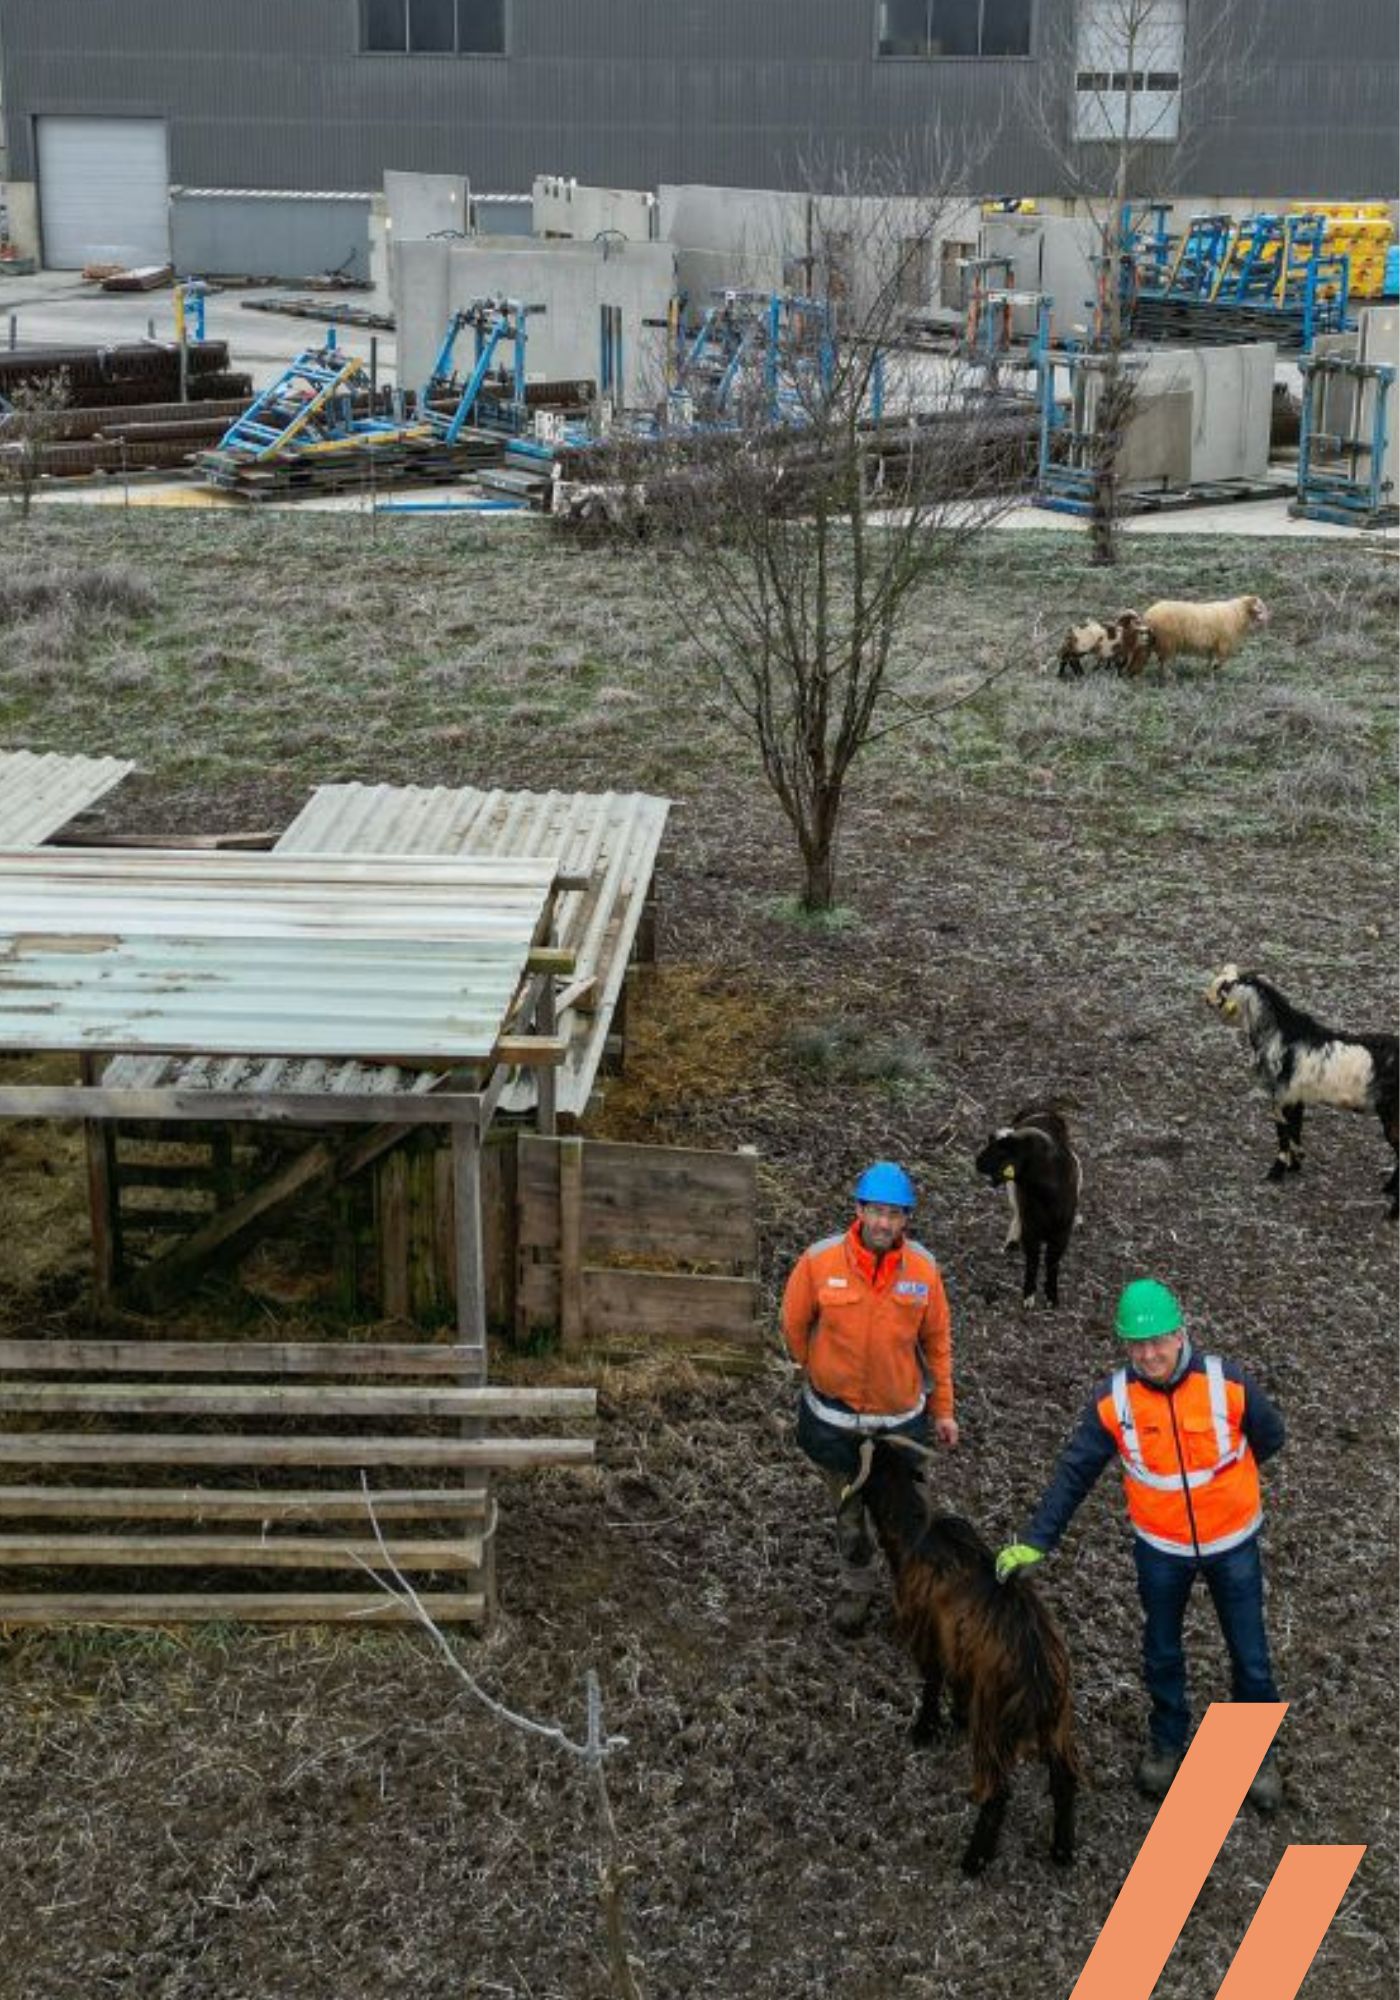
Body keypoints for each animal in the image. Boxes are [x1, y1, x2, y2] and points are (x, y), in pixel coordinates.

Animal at [848, 1440, 1080, 1872]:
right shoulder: (958, 1646)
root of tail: (1040, 1677)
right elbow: (955, 1681)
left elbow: (931, 1682)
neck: (915, 1533)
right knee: (1064, 1780)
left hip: (995, 1724)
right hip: (1056, 1723)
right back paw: (1062, 1851)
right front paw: (955, 1717)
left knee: (998, 1792)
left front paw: (924, 1730)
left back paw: (974, 1860)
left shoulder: (928, 1637)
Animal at [972, 1104, 1080, 1304]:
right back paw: (1011, 1242)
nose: (977, 1162)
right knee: (1016, 1212)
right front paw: (1029, 1295)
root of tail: (1041, 1108)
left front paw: (1052, 1296)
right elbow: (1033, 1261)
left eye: (1001, 1152)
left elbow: (1052, 1263)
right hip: (1013, 1192)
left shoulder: (1061, 1235)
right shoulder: (1031, 1231)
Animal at [1200, 960, 1400, 1208]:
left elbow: (1283, 1136)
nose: (1206, 999)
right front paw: (1296, 1165)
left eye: (1224, 986)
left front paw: (1276, 1173)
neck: (1282, 1035)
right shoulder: (1296, 1097)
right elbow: (1296, 1129)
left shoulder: (1280, 1096)